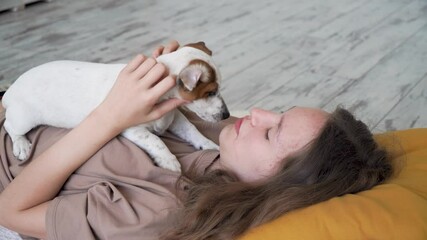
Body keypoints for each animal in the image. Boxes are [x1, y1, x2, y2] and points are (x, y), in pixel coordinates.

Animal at [1, 41, 229, 172]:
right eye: (210, 93)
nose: (226, 115)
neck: (162, 96)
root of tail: (10, 90)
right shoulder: (132, 128)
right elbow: (156, 141)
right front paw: (168, 160)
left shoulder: (173, 118)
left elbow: (192, 130)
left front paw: (209, 145)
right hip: (24, 118)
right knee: (9, 126)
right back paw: (21, 145)